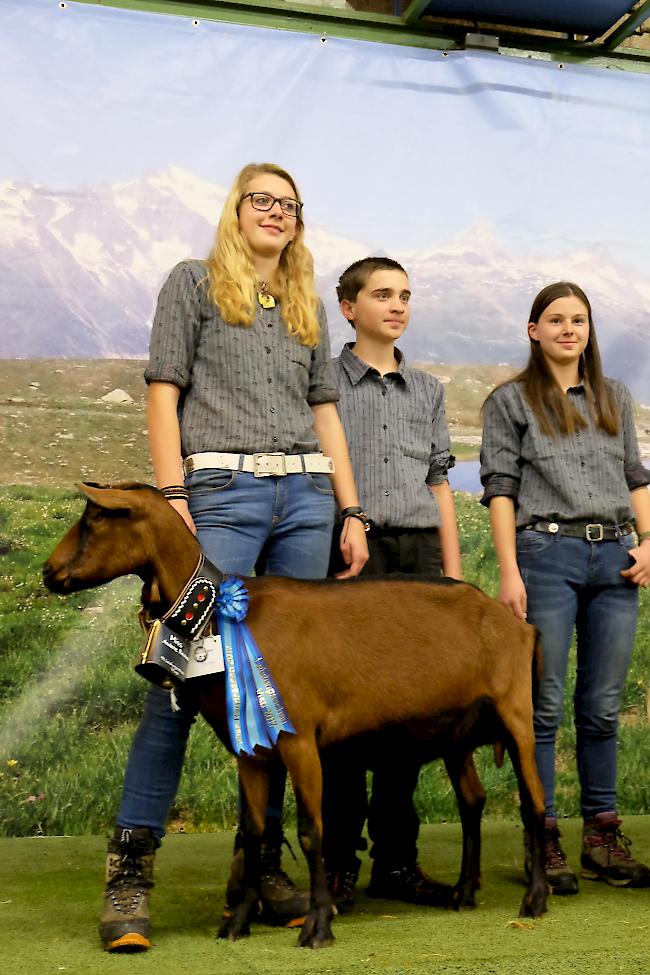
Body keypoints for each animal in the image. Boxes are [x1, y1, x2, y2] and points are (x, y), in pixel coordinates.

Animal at [41, 484, 548, 948]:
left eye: (95, 519)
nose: (49, 572)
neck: (221, 617)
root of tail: (520, 624)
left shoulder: (300, 738)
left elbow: (311, 832)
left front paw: (317, 925)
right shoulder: (249, 751)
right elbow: (253, 831)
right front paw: (238, 923)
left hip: (516, 712)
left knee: (533, 800)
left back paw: (536, 898)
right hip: (456, 733)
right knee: (473, 801)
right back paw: (463, 892)